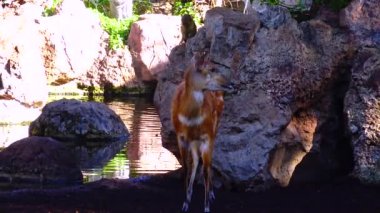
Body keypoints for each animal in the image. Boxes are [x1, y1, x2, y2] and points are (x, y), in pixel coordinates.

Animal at [171, 52, 230, 211]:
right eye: (212, 69)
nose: (228, 83)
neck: (190, 118)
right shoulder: (182, 137)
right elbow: (186, 167)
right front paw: (185, 204)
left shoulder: (207, 136)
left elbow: (205, 169)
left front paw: (207, 207)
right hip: (194, 140)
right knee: (196, 160)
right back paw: (190, 196)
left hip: (214, 129)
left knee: (207, 163)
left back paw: (211, 194)